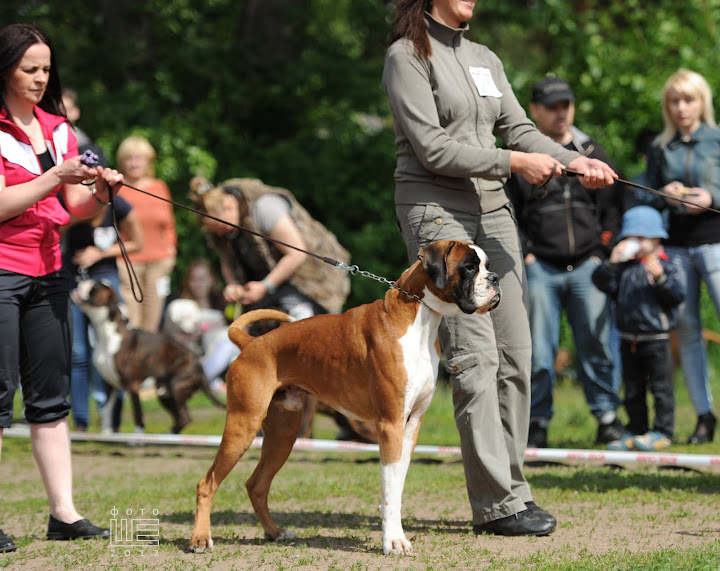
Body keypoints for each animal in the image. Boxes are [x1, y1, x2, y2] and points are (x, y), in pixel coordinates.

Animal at [71, 280, 225, 434]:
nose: (79, 279)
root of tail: (199, 365)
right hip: (165, 394)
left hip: (176, 386)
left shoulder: (133, 386)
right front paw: (106, 433)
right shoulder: (110, 385)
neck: (107, 333)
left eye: (96, 286)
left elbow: (138, 415)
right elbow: (106, 411)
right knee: (181, 419)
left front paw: (138, 437)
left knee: (184, 417)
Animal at [190, 239, 500, 556]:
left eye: (486, 265)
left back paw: (275, 532)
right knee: (207, 483)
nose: (495, 278)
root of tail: (252, 342)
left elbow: (397, 484)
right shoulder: (390, 425)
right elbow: (390, 487)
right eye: (469, 267)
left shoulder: (410, 427)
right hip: (243, 425)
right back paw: (200, 539)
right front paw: (393, 540)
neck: (419, 320)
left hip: (283, 435)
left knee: (256, 485)